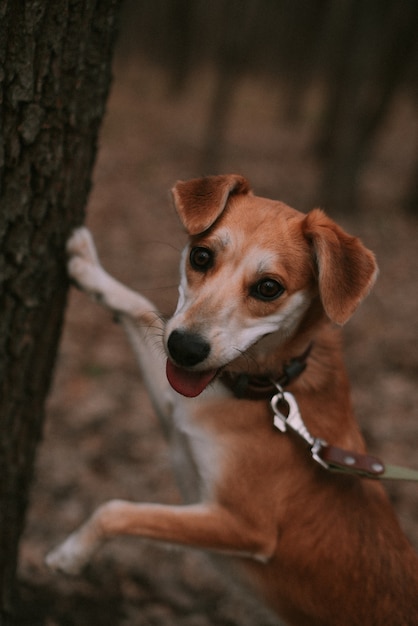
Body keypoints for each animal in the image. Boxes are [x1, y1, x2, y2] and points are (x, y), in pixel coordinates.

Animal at [47, 174, 418, 624]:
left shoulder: (243, 525)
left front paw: (71, 552)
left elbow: (118, 510)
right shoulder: (178, 417)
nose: (185, 348)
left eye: (269, 287)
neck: (267, 387)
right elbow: (142, 308)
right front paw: (90, 268)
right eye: (201, 256)